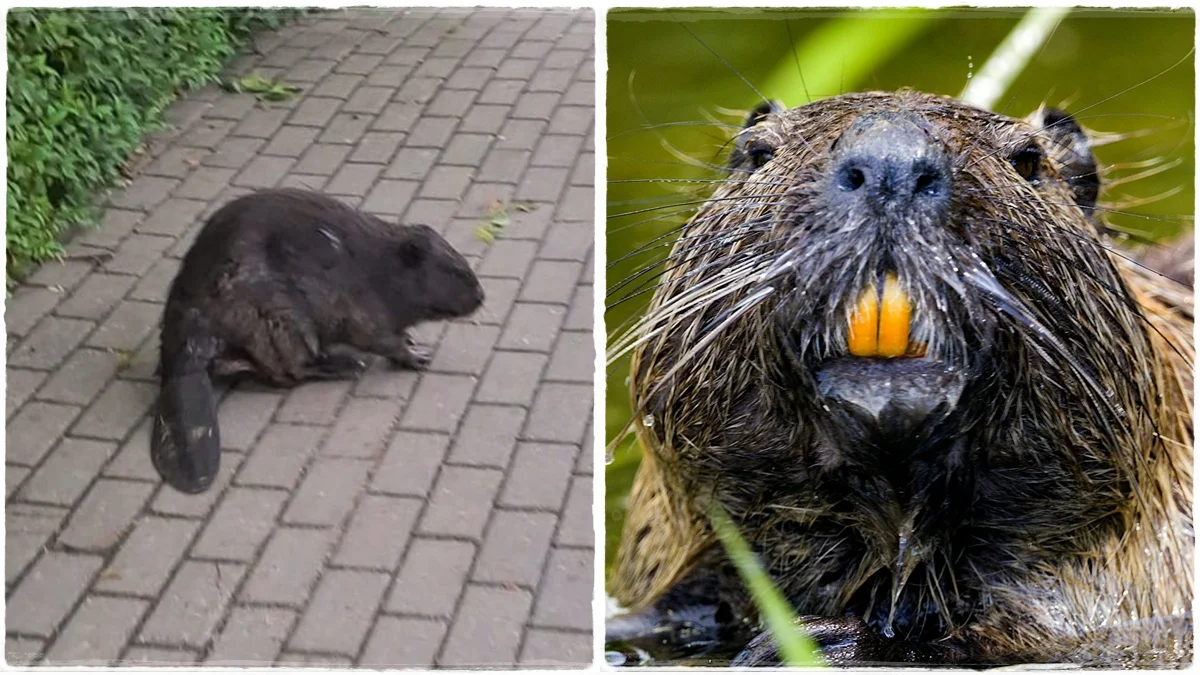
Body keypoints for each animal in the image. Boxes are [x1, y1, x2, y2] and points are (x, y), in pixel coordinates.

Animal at [151, 186, 482, 492]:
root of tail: (180, 364)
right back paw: (346, 365)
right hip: (278, 320)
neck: (378, 265)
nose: (482, 296)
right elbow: (379, 338)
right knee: (290, 370)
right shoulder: (361, 305)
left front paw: (412, 341)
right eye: (457, 271)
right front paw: (417, 355)